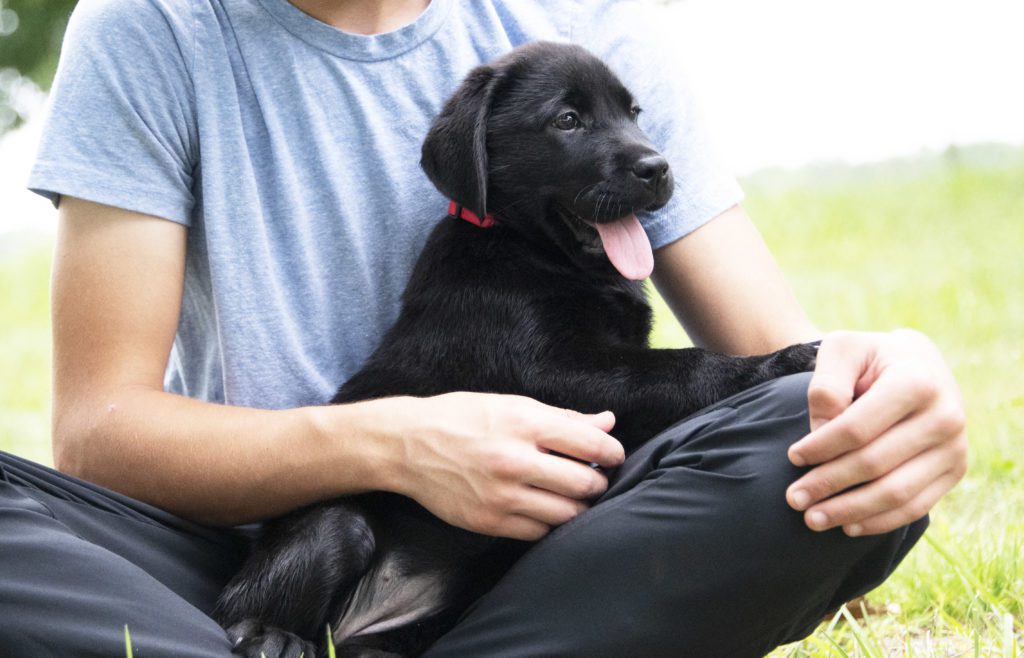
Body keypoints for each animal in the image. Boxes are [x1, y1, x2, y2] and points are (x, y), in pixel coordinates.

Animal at [214, 42, 815, 658]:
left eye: (634, 113)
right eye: (568, 120)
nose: (659, 168)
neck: (529, 248)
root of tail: (369, 619)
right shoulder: (551, 370)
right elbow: (678, 368)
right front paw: (785, 359)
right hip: (329, 529)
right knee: (250, 599)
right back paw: (270, 636)